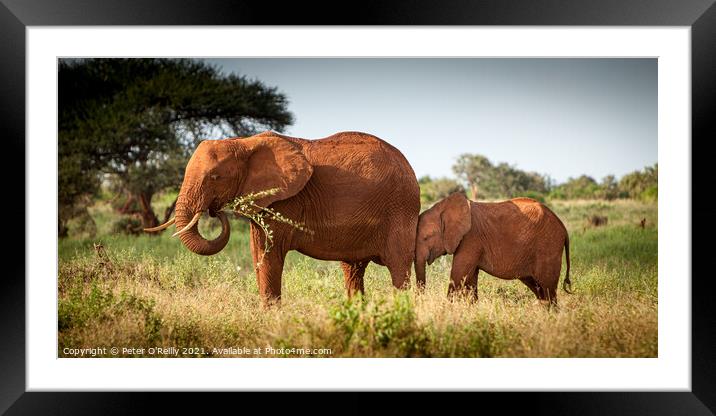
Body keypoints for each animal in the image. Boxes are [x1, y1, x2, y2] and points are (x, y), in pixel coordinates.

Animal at [148, 131, 422, 306]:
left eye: (215, 177)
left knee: (398, 268)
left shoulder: (284, 200)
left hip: (399, 210)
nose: (214, 210)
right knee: (353, 270)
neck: (244, 143)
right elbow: (258, 252)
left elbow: (269, 254)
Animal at [414, 193, 572, 306]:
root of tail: (564, 227)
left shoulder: (470, 239)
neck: (443, 208)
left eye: (426, 237)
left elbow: (458, 275)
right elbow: (470, 281)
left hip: (548, 246)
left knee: (548, 288)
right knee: (540, 290)